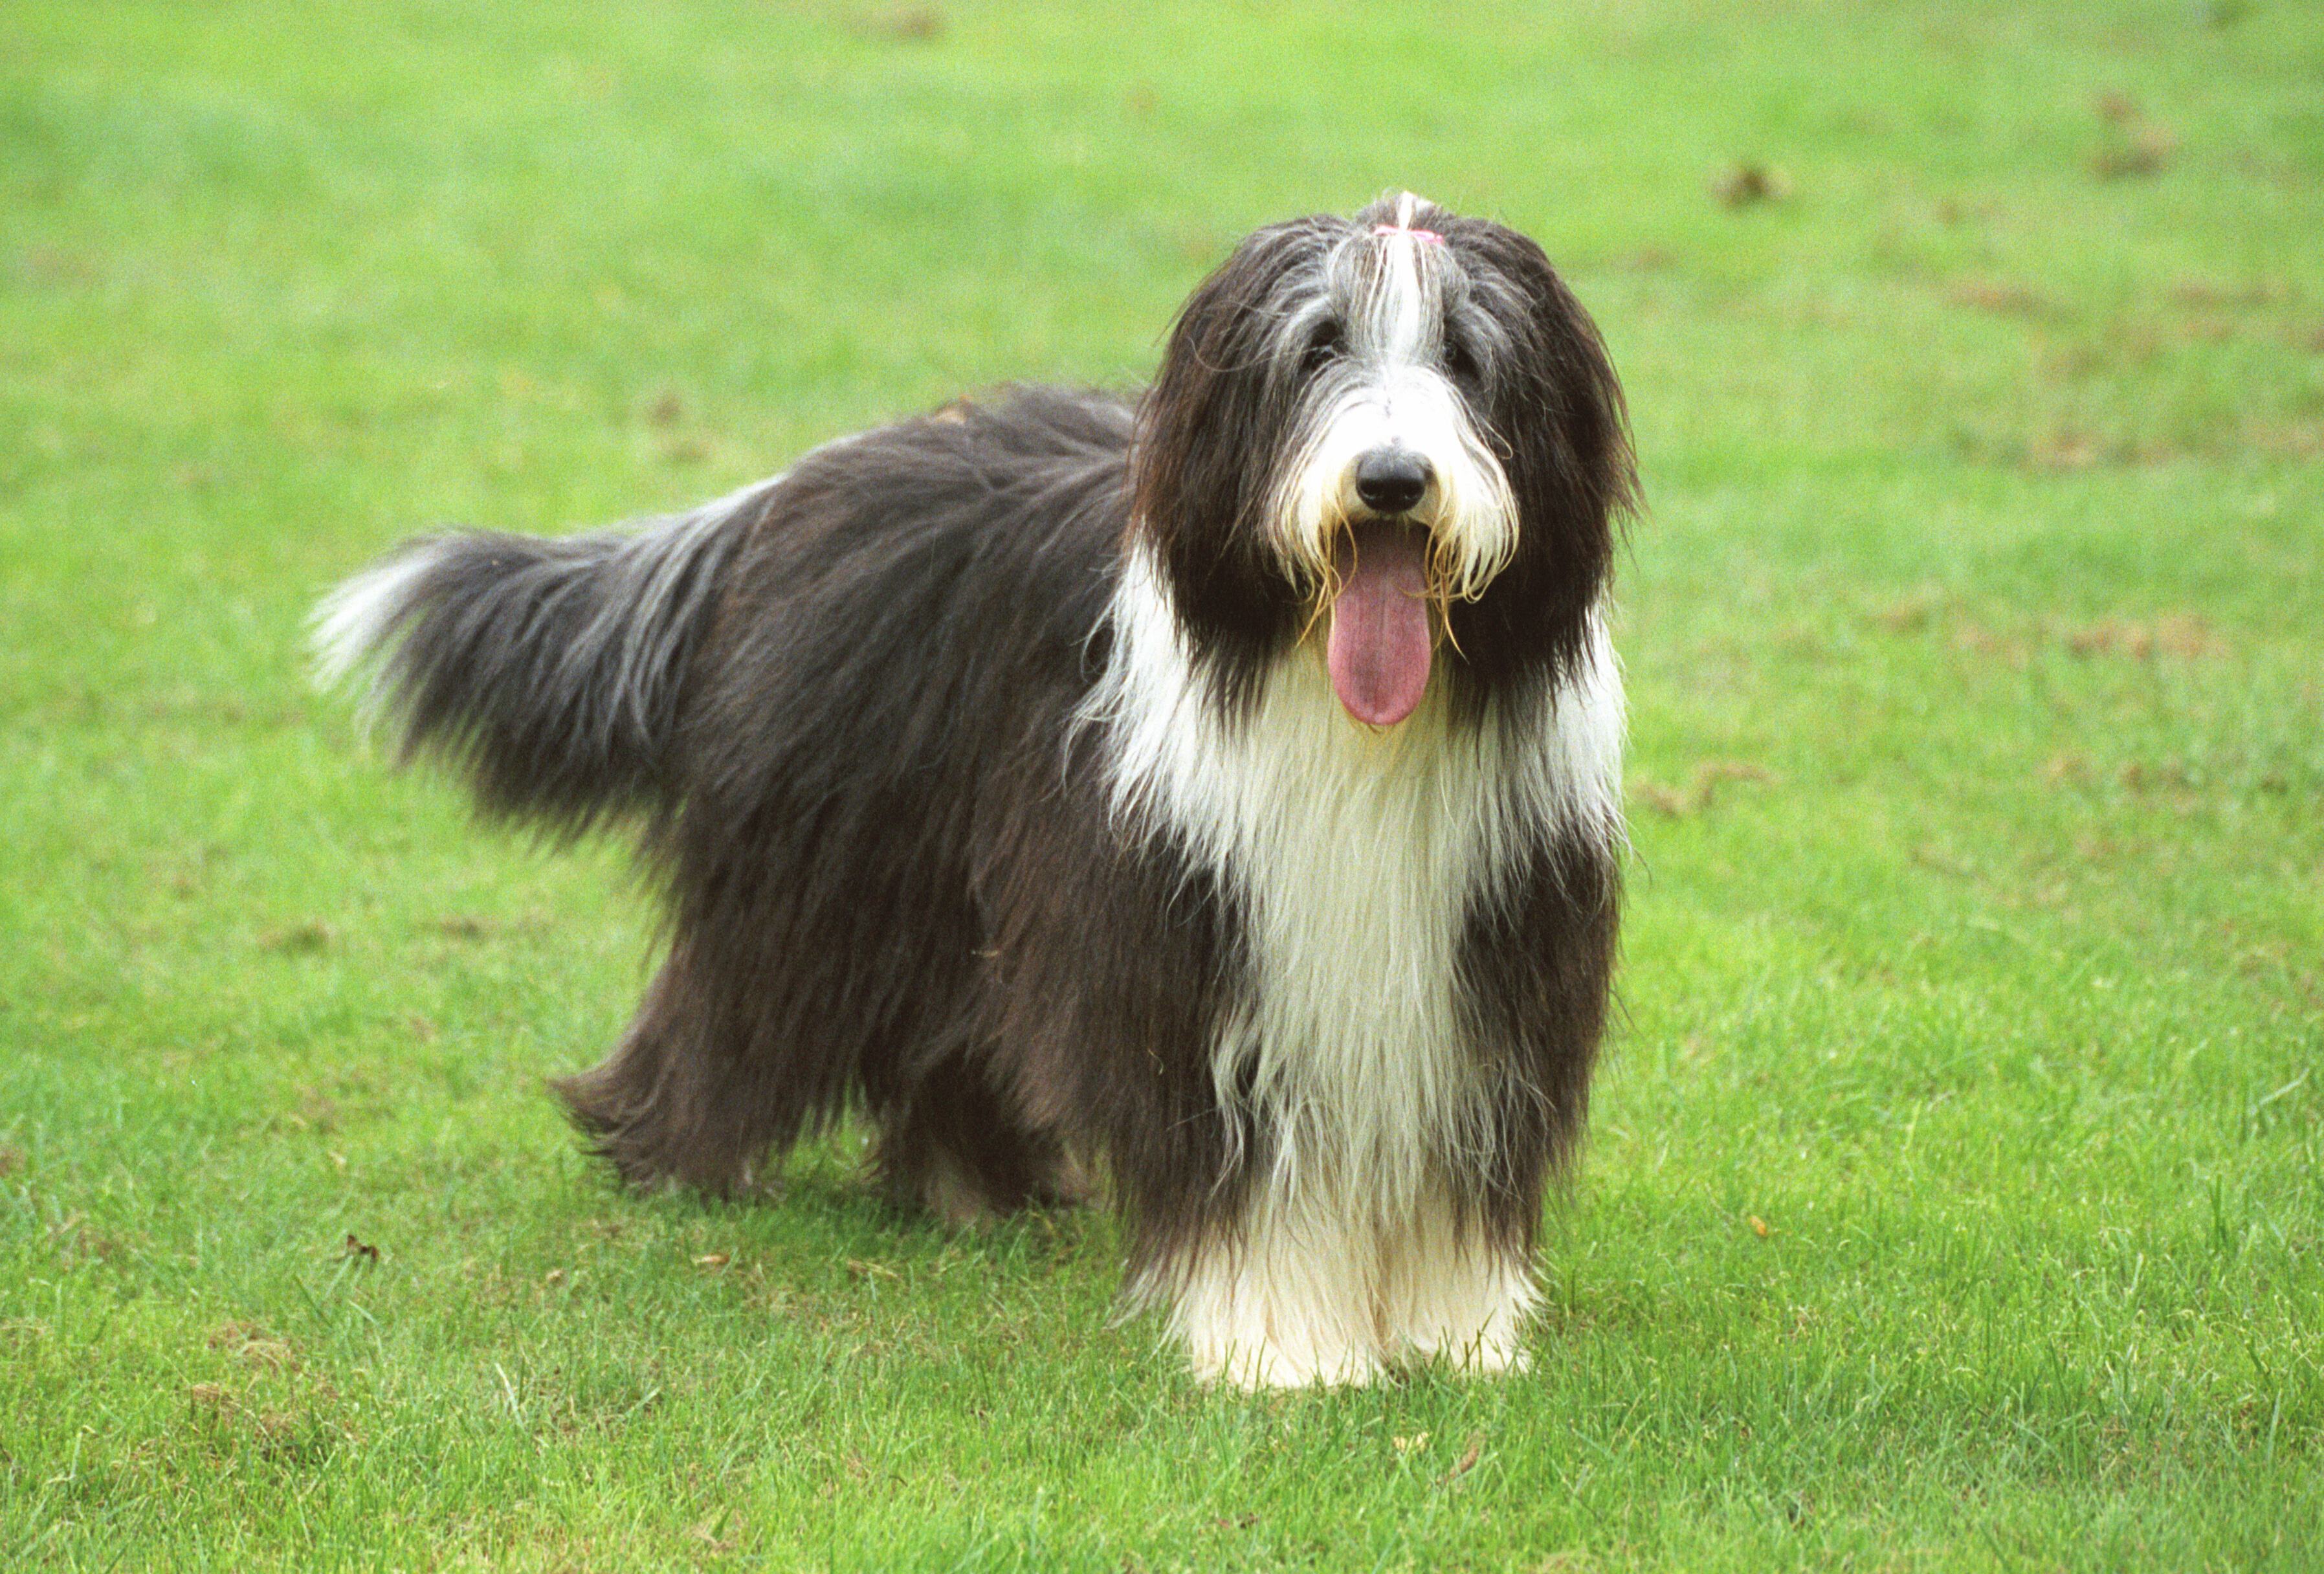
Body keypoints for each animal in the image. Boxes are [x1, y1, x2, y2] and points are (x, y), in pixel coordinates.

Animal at [318, 190, 1636, 1386]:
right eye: (1316, 348)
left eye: (1467, 357)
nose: (1393, 480)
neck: (1347, 716)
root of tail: (799, 483)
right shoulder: (1204, 956)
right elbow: (1246, 1170)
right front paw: (1284, 1349)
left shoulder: (1485, 957)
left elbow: (1457, 1162)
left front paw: (1456, 1336)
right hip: (824, 867)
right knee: (729, 1004)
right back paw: (670, 1161)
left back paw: (973, 1193)